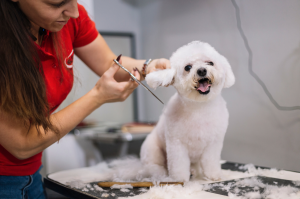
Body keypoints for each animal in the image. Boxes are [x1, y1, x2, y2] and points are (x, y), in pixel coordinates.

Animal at [139, 40, 236, 182]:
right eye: (188, 67)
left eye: (210, 63)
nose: (201, 70)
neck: (199, 108)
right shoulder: (176, 145)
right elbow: (178, 165)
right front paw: (179, 179)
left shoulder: (213, 143)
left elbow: (211, 161)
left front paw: (213, 175)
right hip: (152, 150)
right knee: (153, 165)